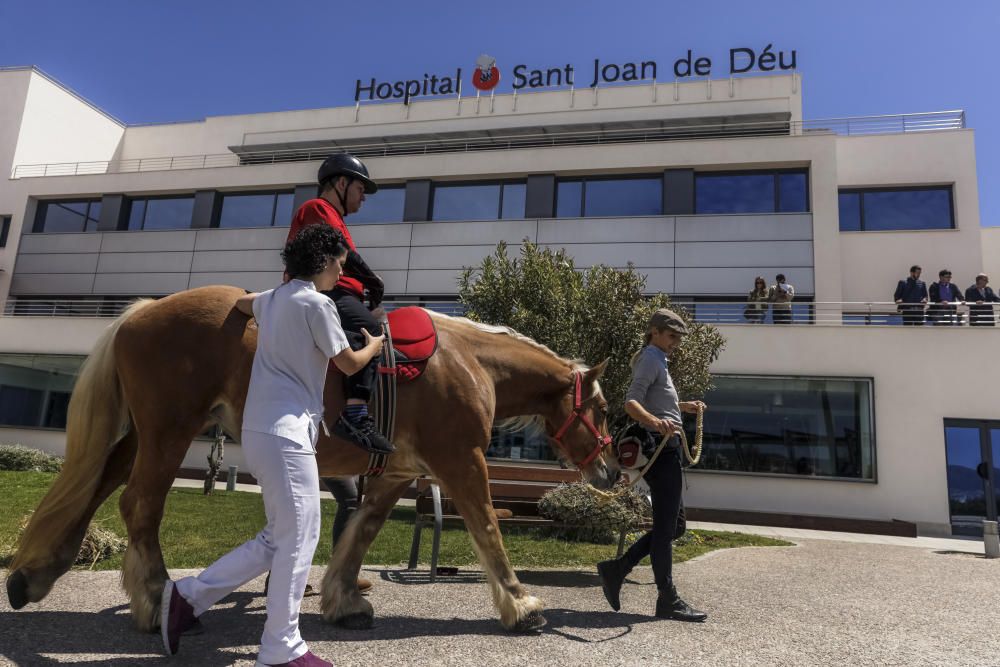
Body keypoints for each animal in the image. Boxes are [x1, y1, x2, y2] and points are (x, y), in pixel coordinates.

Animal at [5, 284, 616, 636]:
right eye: (605, 409)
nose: (611, 470)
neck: (469, 363)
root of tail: (142, 312)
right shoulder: (462, 461)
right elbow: (488, 529)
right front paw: (522, 604)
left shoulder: (396, 472)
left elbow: (361, 532)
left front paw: (344, 601)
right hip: (168, 432)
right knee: (140, 505)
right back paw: (155, 600)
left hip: (142, 434)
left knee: (96, 485)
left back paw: (35, 574)